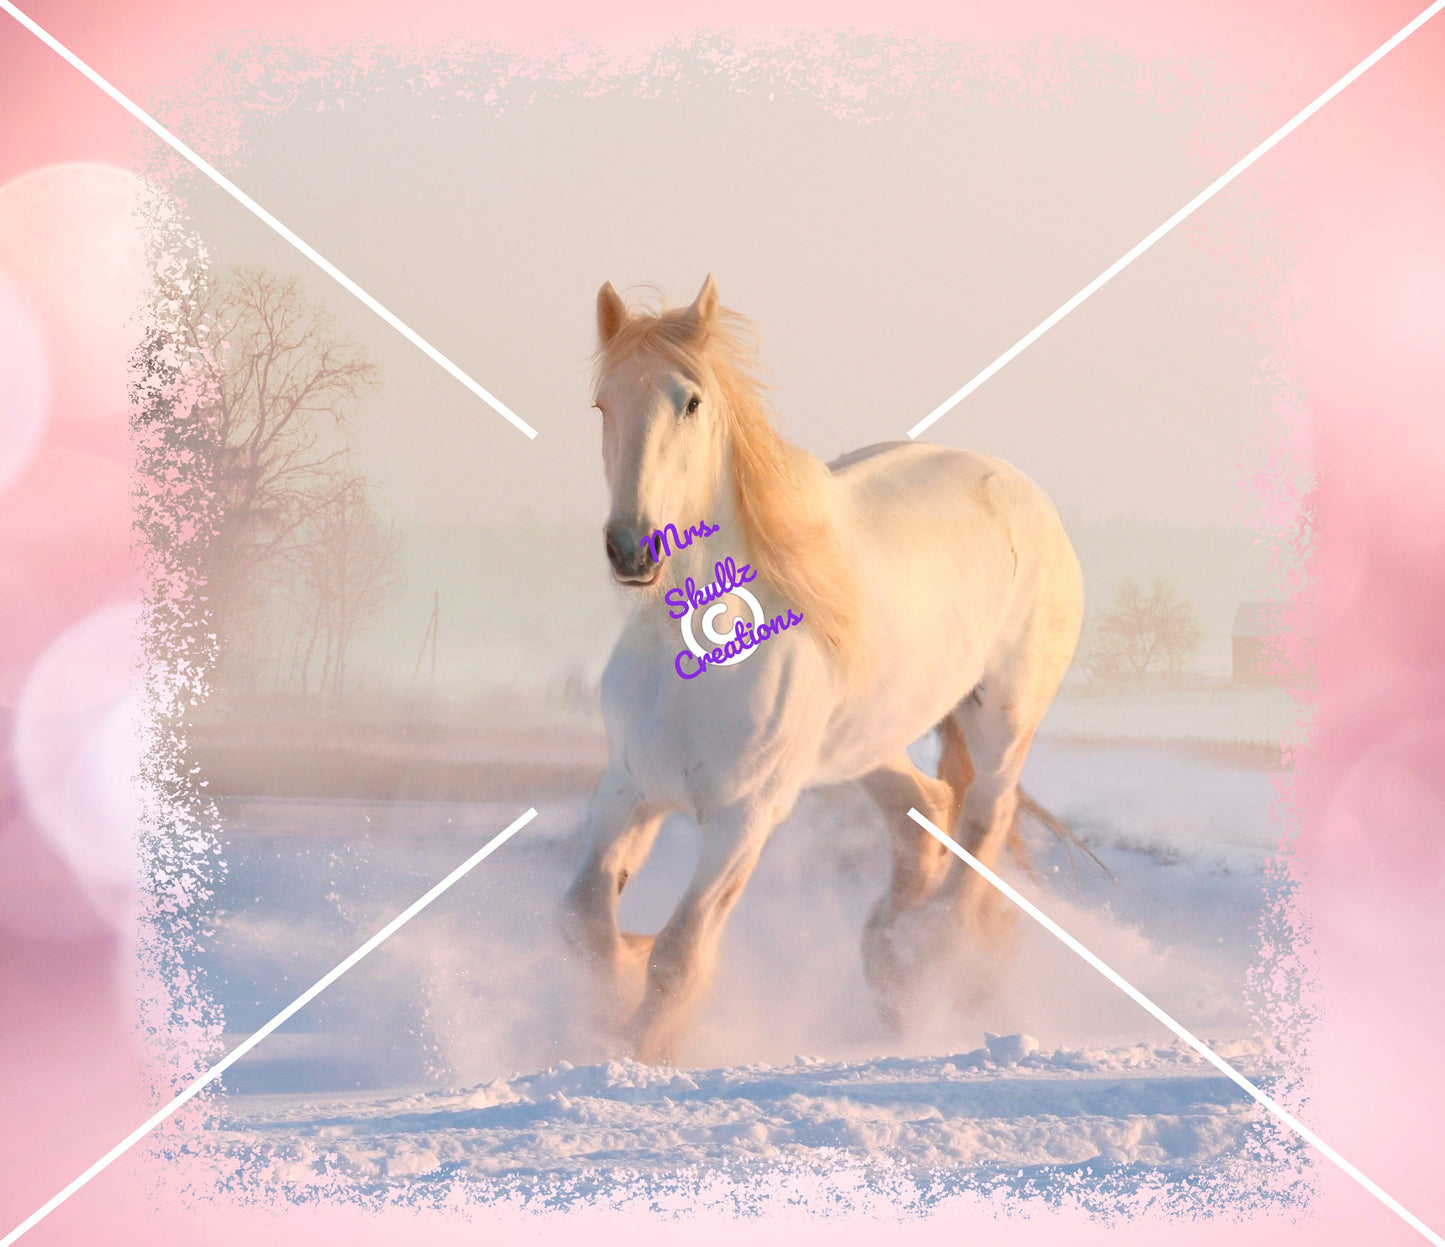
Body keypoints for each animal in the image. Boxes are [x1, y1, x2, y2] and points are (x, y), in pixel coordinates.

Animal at [562, 274, 1086, 1064]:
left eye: (691, 401)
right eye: (603, 403)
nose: (633, 548)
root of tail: (1023, 492)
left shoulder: (745, 816)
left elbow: (679, 954)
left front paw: (641, 1046)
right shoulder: (629, 787)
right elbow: (586, 922)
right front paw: (616, 989)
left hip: (1002, 716)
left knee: (982, 820)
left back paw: (931, 958)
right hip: (867, 741)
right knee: (926, 810)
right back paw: (892, 962)